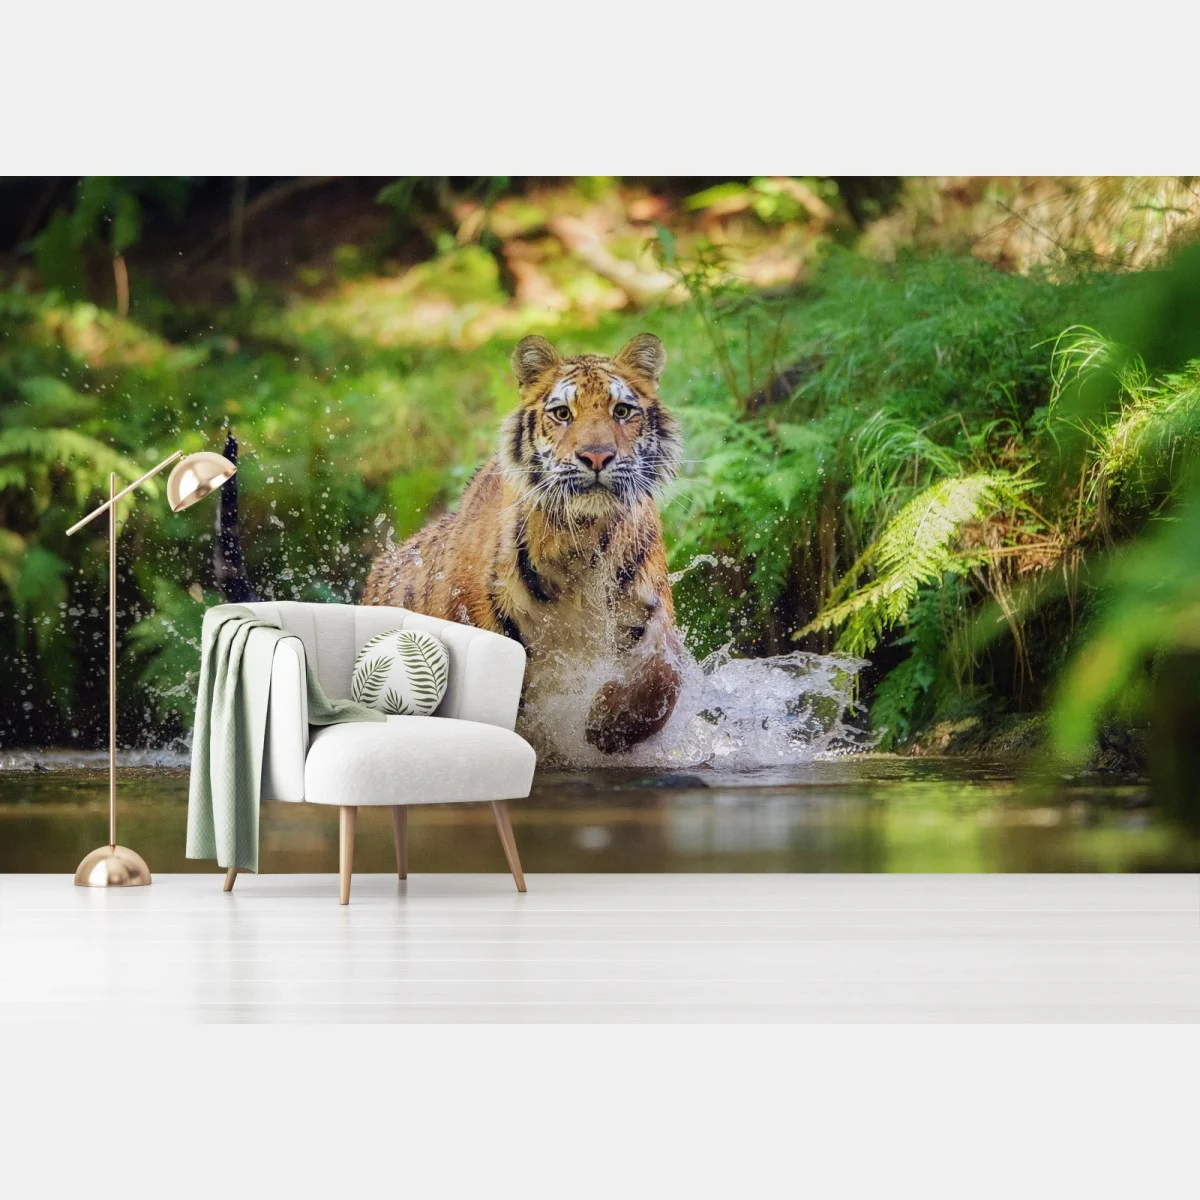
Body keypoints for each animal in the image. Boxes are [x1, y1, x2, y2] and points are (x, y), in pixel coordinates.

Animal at [362, 332, 684, 755]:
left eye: (622, 411)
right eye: (562, 413)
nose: (597, 456)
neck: (580, 541)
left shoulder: (650, 612)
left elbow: (663, 677)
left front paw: (608, 724)